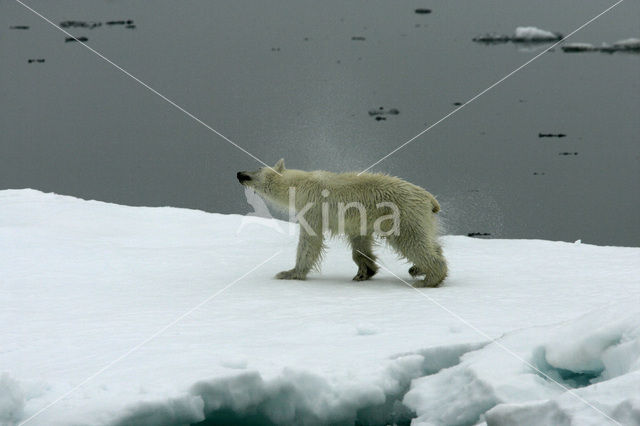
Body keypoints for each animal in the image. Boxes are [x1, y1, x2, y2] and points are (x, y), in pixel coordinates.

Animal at [238, 161, 448, 290]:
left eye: (256, 169)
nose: (239, 173)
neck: (300, 183)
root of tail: (430, 198)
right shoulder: (360, 218)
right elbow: (360, 241)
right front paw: (364, 271)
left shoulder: (313, 206)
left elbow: (310, 240)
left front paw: (290, 273)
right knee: (429, 240)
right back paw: (417, 269)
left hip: (402, 214)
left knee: (411, 241)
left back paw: (428, 279)